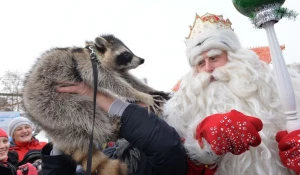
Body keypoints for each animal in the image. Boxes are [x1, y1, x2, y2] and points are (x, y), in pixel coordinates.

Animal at [22, 34, 165, 175]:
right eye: (126, 54)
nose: (142, 60)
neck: (94, 54)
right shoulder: (87, 65)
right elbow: (111, 81)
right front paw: (140, 95)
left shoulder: (114, 69)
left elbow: (128, 78)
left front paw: (148, 90)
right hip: (49, 102)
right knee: (85, 111)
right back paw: (109, 131)